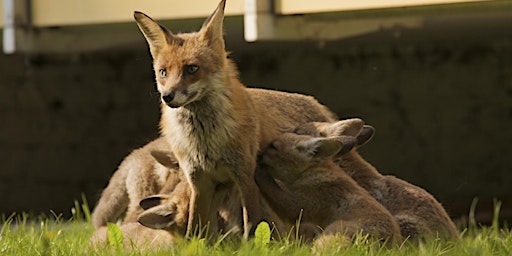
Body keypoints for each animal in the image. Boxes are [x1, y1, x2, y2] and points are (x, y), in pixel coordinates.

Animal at [134, 0, 338, 239]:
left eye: (192, 68)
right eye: (163, 72)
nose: (167, 97)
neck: (205, 140)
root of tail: (312, 99)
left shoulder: (244, 176)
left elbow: (252, 225)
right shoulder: (198, 181)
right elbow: (195, 228)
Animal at [254, 118, 402, 246]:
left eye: (273, 147)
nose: (258, 154)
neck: (313, 173)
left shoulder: (299, 206)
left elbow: (270, 187)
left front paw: (257, 171)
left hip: (333, 231)